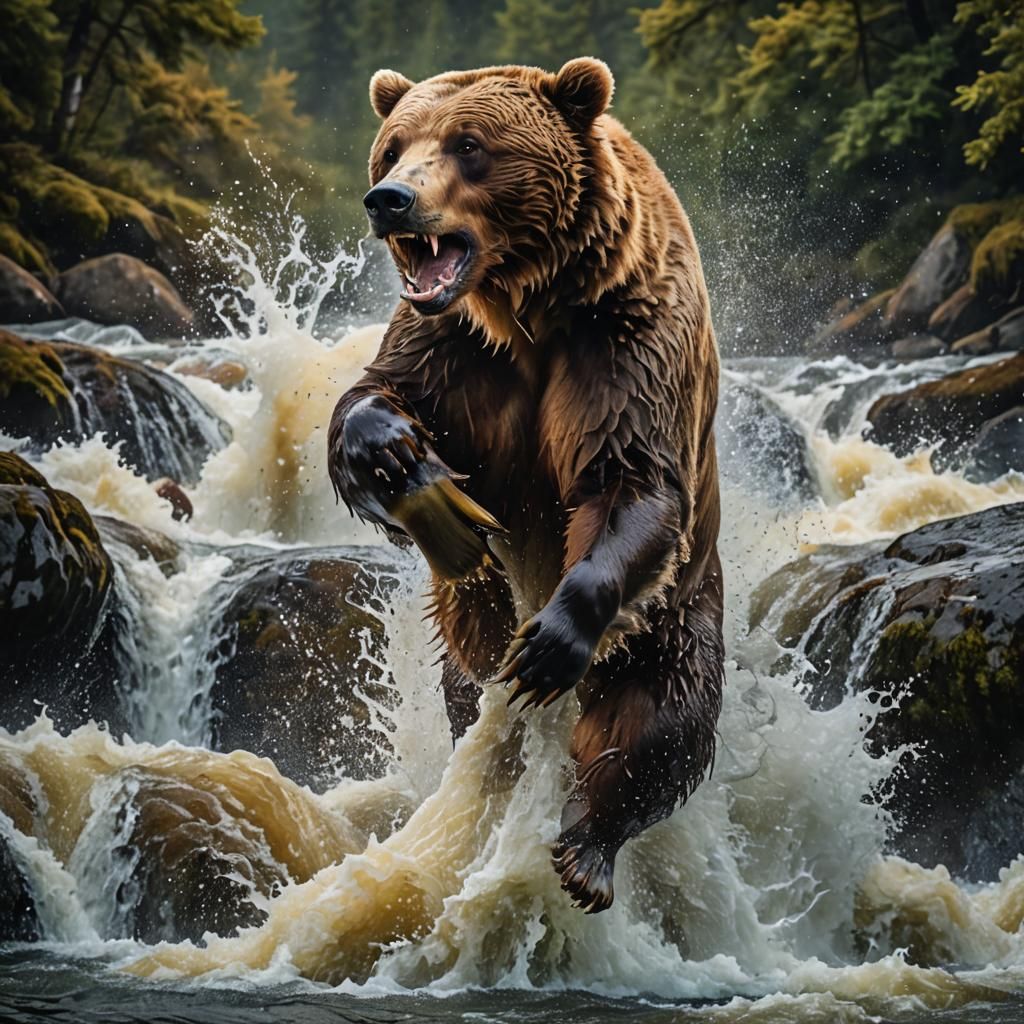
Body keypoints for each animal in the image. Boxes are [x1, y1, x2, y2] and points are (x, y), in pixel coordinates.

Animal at [328, 57, 724, 914]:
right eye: (392, 147)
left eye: (470, 144)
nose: (390, 199)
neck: (527, 305)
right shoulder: (450, 346)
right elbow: (372, 396)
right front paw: (404, 463)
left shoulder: (626, 343)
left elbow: (630, 481)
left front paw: (549, 643)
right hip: (468, 636)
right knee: (468, 690)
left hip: (675, 620)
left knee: (661, 721)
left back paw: (587, 850)